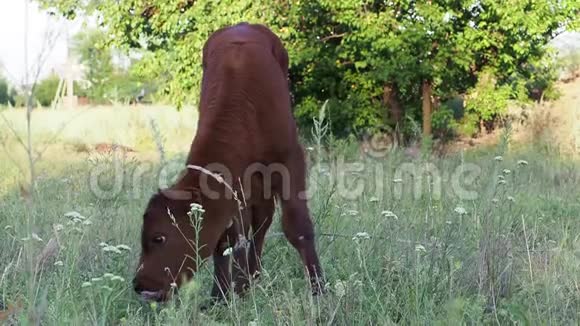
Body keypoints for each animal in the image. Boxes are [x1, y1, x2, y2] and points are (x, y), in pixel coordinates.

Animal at [133, 22, 326, 304]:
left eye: (159, 237)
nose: (139, 285)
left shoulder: (291, 160)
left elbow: (297, 226)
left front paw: (319, 289)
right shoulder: (235, 186)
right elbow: (227, 239)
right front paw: (221, 296)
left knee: (262, 225)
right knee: (254, 226)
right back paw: (247, 281)